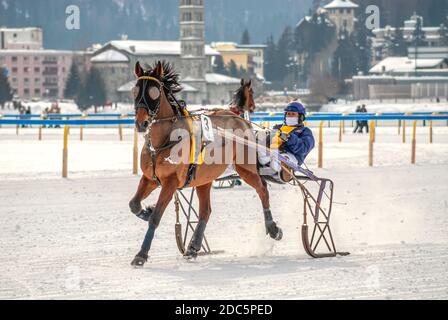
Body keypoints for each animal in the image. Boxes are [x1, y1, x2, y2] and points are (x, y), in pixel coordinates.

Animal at [128, 61, 282, 266]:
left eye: (155, 91)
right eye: (135, 90)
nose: (142, 123)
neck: (163, 141)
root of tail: (240, 120)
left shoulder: (170, 183)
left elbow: (156, 218)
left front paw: (141, 254)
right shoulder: (150, 178)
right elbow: (134, 204)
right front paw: (146, 210)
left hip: (245, 168)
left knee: (262, 189)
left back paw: (273, 228)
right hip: (204, 178)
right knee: (205, 211)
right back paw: (193, 247)